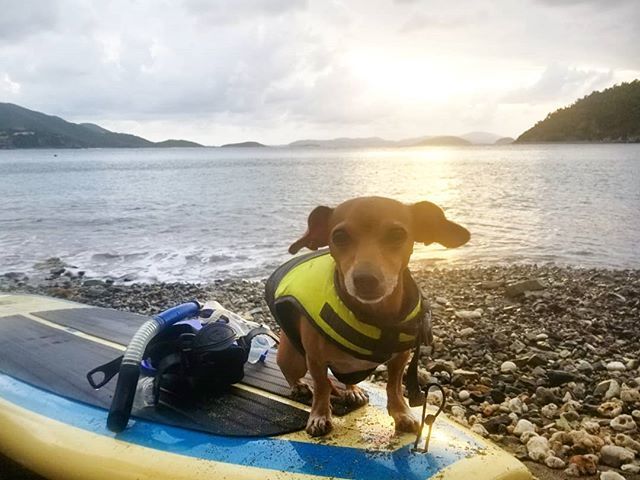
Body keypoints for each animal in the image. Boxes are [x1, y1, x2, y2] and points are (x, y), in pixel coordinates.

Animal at [264, 197, 470, 436]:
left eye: (398, 234)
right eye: (339, 236)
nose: (365, 279)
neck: (375, 317)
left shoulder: (400, 358)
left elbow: (394, 385)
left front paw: (401, 413)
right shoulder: (315, 360)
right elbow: (322, 386)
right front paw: (319, 416)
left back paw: (352, 390)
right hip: (294, 359)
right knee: (290, 372)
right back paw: (298, 386)